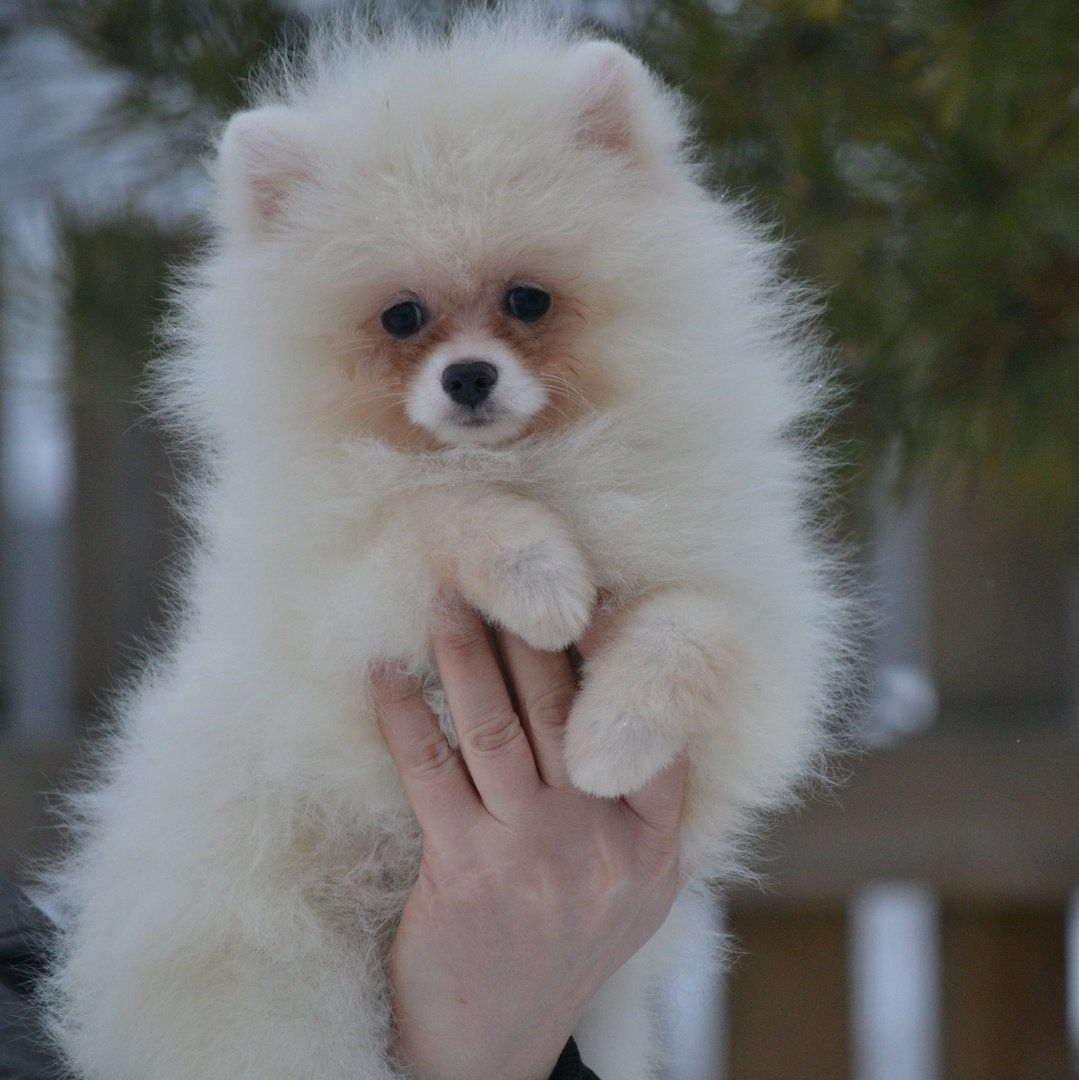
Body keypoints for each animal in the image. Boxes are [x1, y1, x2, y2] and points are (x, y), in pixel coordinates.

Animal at [42, 10, 851, 1080]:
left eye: (527, 300)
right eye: (402, 316)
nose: (468, 377)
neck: (540, 464)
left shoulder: (758, 654)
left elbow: (698, 630)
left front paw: (607, 739)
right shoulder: (340, 640)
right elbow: (438, 512)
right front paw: (542, 579)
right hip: (280, 997)